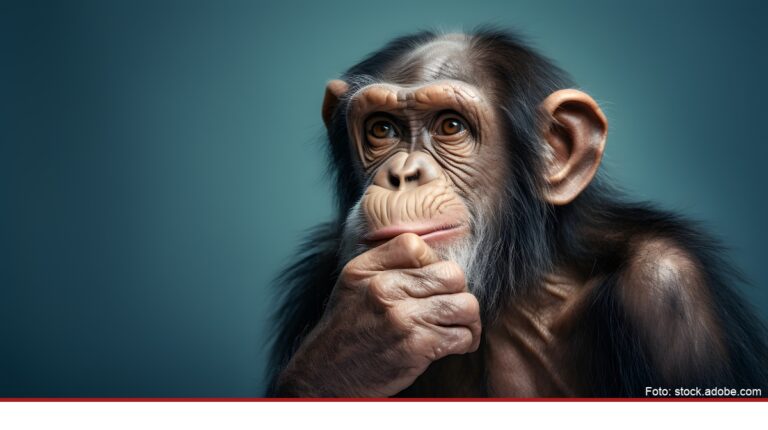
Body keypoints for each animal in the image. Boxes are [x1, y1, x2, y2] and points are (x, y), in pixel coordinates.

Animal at [266, 28, 768, 397]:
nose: (403, 174)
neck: (509, 289)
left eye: (450, 125)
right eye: (382, 130)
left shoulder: (669, 293)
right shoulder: (315, 278)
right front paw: (357, 339)